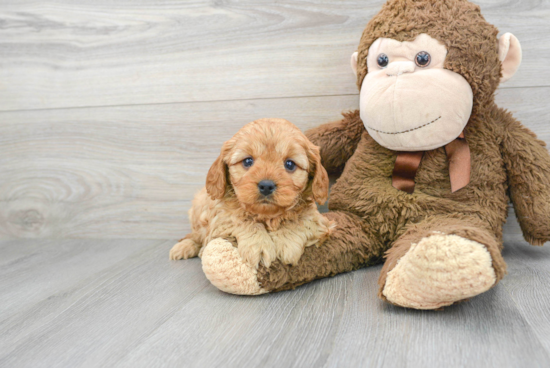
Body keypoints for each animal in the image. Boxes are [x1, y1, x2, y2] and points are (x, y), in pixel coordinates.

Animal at [168, 118, 334, 268]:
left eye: (290, 164)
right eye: (247, 161)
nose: (266, 186)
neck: (267, 215)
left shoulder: (319, 220)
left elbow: (300, 220)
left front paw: (287, 243)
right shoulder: (221, 217)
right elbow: (244, 220)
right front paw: (258, 246)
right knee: (196, 236)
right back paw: (184, 247)